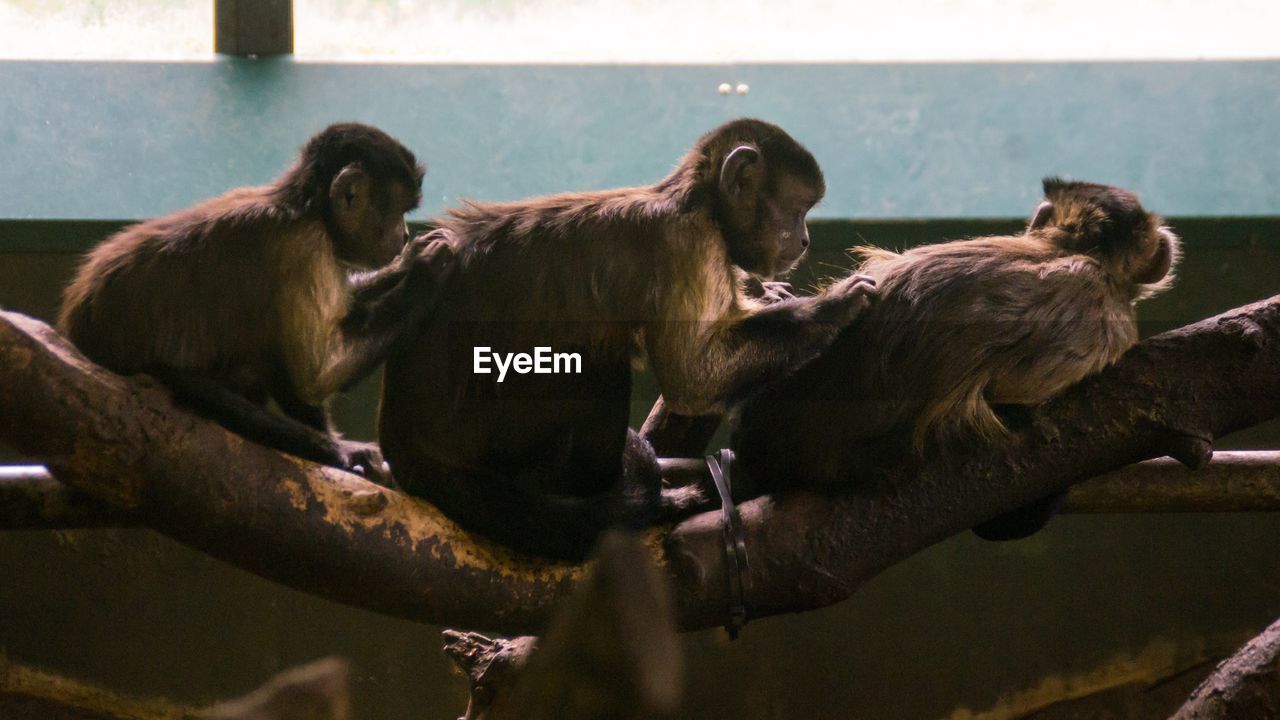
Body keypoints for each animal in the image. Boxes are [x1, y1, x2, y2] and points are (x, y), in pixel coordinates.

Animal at [57, 121, 455, 481]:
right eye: (399, 211)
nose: (404, 235)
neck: (304, 210)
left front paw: (407, 263)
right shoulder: (304, 248)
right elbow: (316, 375)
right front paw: (426, 271)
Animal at [378, 117, 875, 558]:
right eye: (797, 211)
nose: (806, 239)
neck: (696, 203)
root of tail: (404, 442)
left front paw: (769, 293)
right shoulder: (687, 242)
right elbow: (694, 378)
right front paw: (829, 307)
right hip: (494, 435)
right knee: (596, 367)